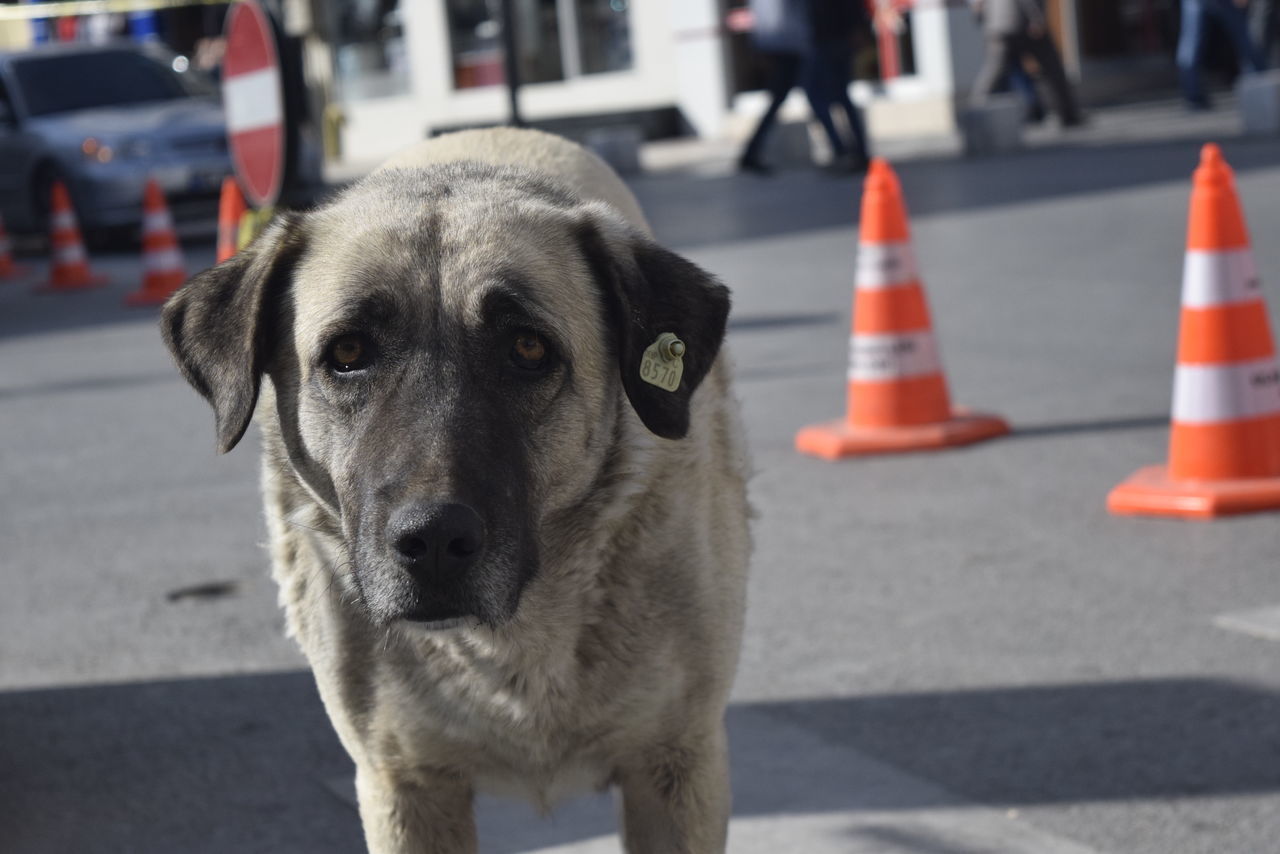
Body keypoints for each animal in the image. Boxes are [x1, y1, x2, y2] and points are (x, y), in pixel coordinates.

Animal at [165, 128, 752, 854]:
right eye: (348, 353)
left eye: (527, 348)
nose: (434, 541)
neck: (514, 646)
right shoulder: (406, 787)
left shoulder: (677, 766)